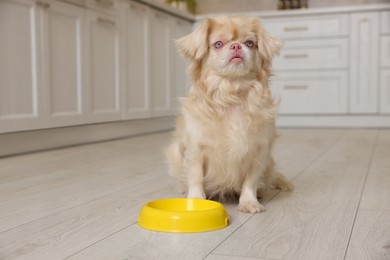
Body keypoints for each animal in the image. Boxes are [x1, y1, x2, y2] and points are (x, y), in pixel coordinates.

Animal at [166, 16, 294, 213]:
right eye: (218, 44)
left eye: (249, 43)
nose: (236, 46)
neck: (231, 91)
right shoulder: (196, 150)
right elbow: (196, 178)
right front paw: (196, 201)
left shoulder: (258, 152)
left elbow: (250, 181)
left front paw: (249, 202)